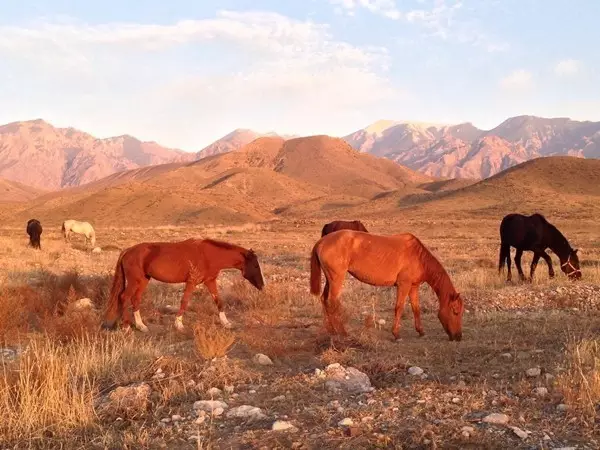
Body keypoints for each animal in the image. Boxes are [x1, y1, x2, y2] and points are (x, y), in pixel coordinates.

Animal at [102, 239, 264, 330]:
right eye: (255, 265)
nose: (262, 286)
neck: (209, 255)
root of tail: (128, 250)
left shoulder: (210, 281)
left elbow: (219, 301)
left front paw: (226, 323)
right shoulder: (191, 282)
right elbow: (184, 301)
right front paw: (178, 324)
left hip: (143, 280)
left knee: (135, 299)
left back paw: (141, 326)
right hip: (135, 281)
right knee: (124, 297)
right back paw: (126, 327)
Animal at [312, 230, 466, 340]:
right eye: (455, 311)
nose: (458, 336)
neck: (418, 257)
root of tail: (321, 241)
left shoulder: (413, 287)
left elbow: (416, 309)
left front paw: (421, 331)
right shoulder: (404, 285)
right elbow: (399, 308)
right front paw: (396, 334)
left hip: (330, 279)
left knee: (324, 300)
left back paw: (331, 331)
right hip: (336, 279)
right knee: (332, 302)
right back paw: (342, 332)